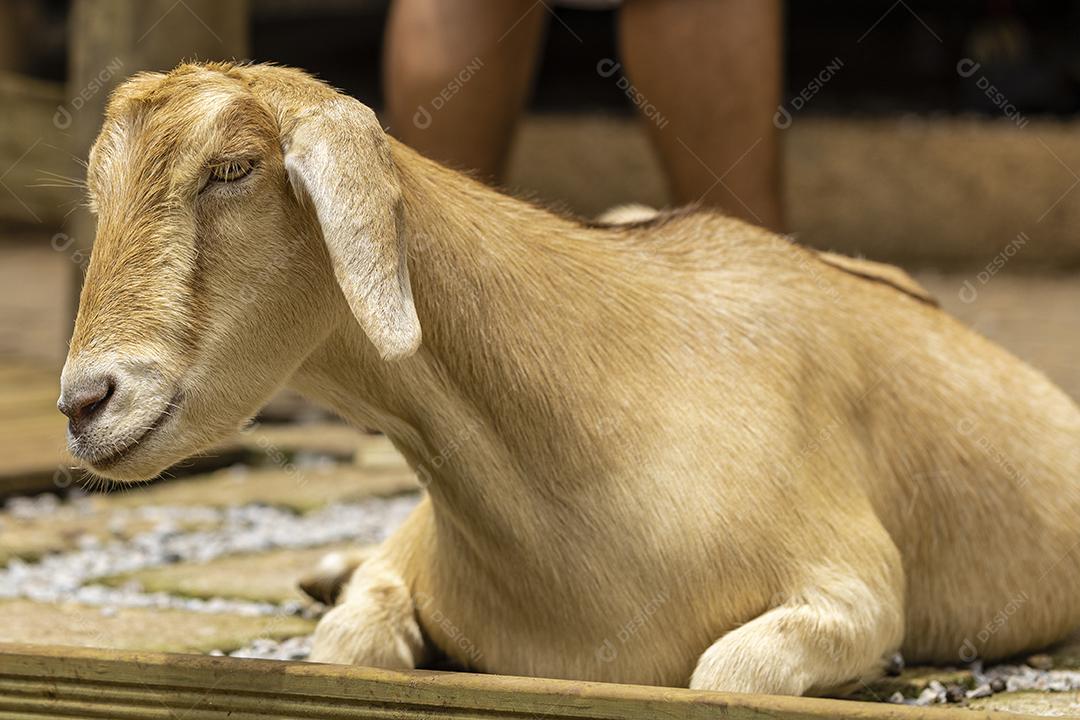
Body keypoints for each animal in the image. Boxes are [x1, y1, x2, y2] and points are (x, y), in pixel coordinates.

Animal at [60, 62, 1080, 696]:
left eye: (231, 168)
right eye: (99, 195)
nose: (82, 402)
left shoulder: (855, 582)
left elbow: (727, 671)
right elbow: (352, 636)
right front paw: (343, 592)